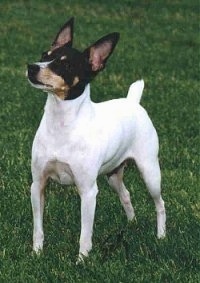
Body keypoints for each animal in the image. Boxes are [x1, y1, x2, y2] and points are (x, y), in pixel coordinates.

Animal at [27, 17, 166, 262]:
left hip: (150, 173)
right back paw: (131, 224)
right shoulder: (38, 185)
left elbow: (85, 233)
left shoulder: (88, 192)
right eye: (44, 55)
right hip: (113, 176)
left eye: (66, 66)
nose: (32, 67)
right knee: (126, 194)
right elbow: (38, 228)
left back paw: (160, 235)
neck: (61, 125)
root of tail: (133, 101)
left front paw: (81, 261)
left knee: (160, 203)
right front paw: (37, 253)